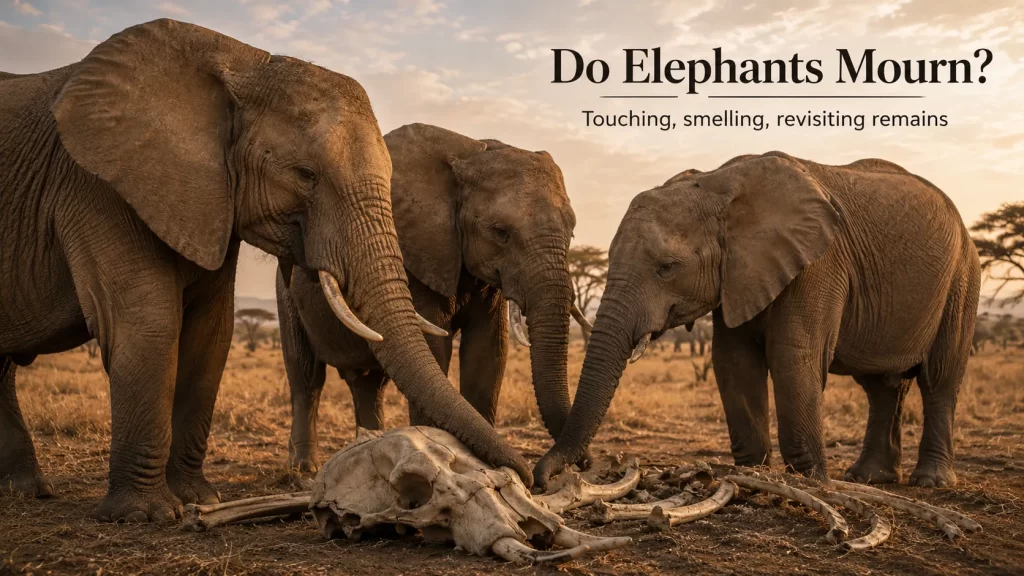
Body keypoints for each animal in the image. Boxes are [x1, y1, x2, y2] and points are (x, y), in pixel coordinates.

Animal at [0, 20, 529, 522]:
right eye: (306, 175)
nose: (525, 476)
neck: (241, 62)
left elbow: (211, 336)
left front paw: (198, 498)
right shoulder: (97, 185)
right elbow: (149, 325)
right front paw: (145, 514)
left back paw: (26, 490)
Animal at [278, 123, 589, 472]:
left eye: (572, 231)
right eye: (501, 232)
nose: (583, 464)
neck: (470, 153)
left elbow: (488, 350)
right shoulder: (414, 253)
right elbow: (435, 347)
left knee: (370, 383)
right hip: (286, 287)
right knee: (306, 375)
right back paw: (304, 468)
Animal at [535, 152, 980, 490]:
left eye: (666, 267)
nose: (543, 477)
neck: (719, 183)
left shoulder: (818, 263)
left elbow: (793, 357)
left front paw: (810, 481)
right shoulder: (738, 273)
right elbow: (733, 361)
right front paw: (752, 473)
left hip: (962, 277)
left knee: (939, 379)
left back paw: (930, 482)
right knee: (881, 386)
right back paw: (869, 478)